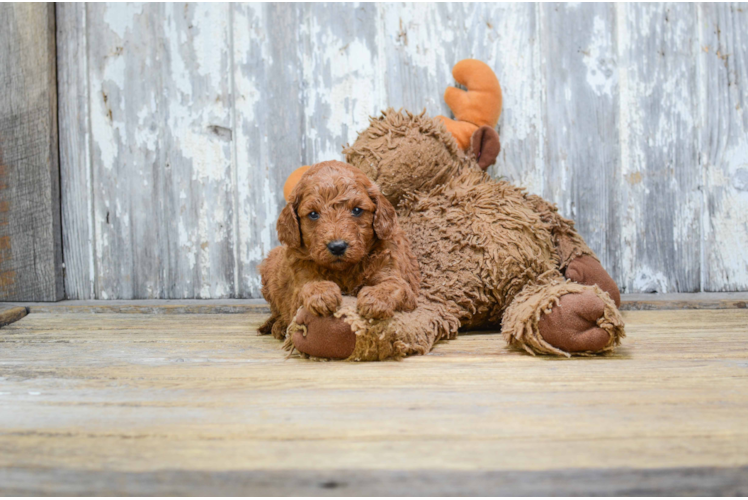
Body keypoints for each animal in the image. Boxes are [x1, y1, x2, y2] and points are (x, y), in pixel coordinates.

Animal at [258, 160, 420, 352]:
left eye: (357, 210)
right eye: (313, 214)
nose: (337, 247)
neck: (345, 270)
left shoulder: (396, 276)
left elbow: (392, 285)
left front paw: (374, 300)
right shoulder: (298, 282)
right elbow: (308, 285)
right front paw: (322, 294)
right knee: (276, 310)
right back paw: (279, 326)